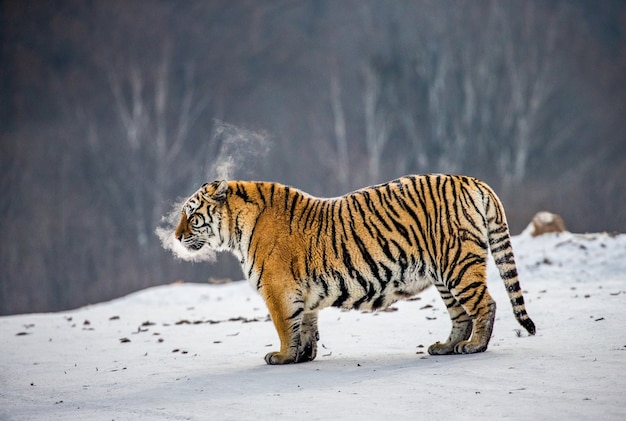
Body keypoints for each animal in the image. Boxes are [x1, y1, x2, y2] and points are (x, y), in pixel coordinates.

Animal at [173, 174, 532, 364]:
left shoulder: (278, 290)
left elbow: (285, 327)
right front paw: (303, 355)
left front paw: (283, 356)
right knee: (460, 316)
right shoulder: (302, 293)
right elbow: (306, 326)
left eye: (191, 216)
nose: (175, 236)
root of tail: (472, 180)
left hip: (457, 264)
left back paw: (475, 346)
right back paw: (445, 347)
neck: (235, 231)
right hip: (444, 275)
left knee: (486, 304)